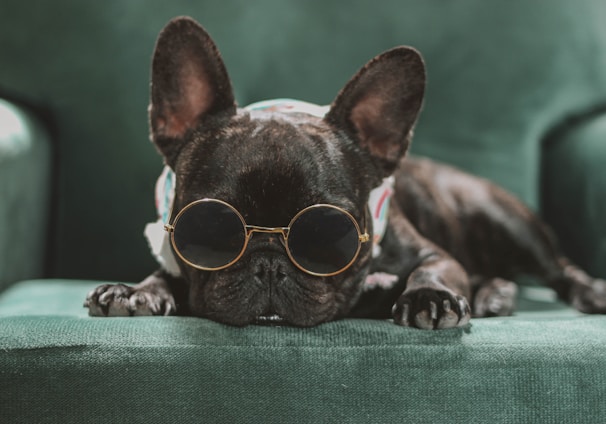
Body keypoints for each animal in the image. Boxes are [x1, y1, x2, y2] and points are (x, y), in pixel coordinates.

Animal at [84, 16, 606, 330]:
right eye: (210, 231)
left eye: (329, 234)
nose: (269, 263)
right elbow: (164, 273)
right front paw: (136, 291)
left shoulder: (433, 253)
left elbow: (437, 268)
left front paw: (429, 297)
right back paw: (495, 293)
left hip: (506, 223)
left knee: (559, 268)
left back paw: (581, 292)